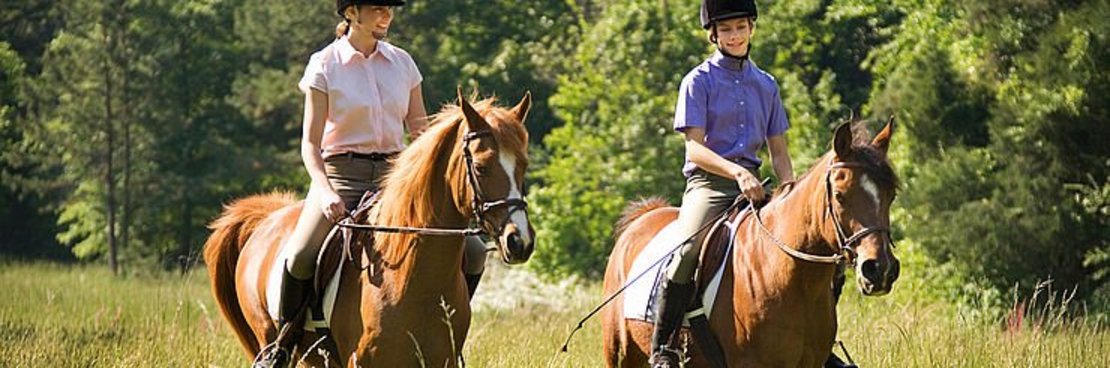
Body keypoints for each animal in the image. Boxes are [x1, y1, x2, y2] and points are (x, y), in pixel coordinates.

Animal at [207, 90, 537, 365]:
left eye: (523, 165)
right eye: (480, 167)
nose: (519, 241)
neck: (412, 278)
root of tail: (267, 217)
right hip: (271, 332)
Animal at [608, 120, 901, 365]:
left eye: (891, 195)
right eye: (840, 195)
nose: (880, 269)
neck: (795, 277)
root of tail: (643, 217)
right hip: (619, 352)